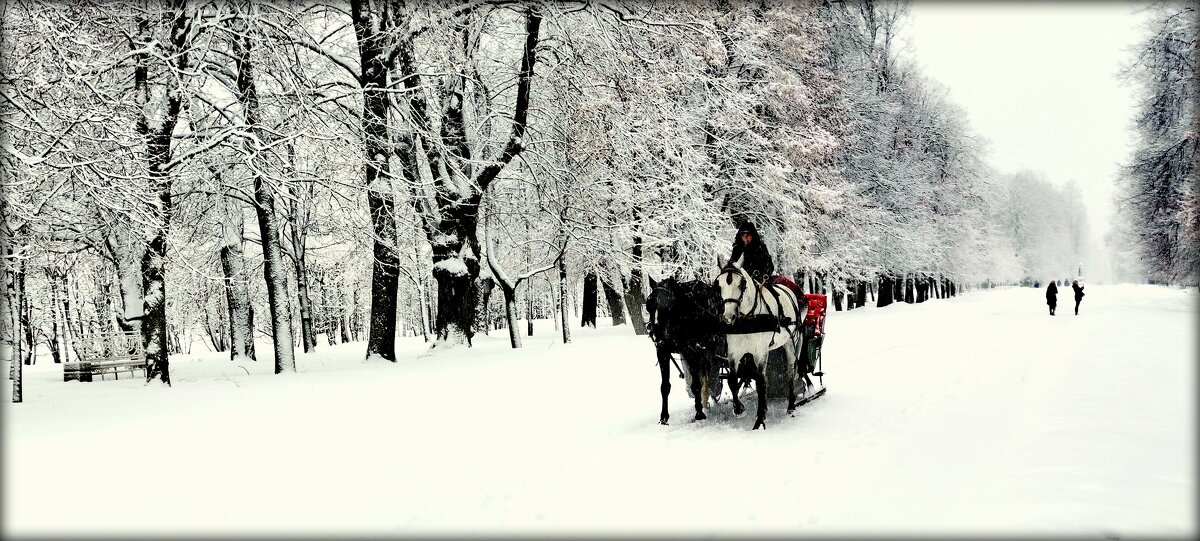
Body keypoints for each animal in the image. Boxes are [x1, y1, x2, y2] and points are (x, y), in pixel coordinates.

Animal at [648, 277, 720, 424]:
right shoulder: (662, 351)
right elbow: (665, 386)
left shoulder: (690, 351)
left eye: (668, 304)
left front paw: (699, 413)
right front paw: (663, 418)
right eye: (649, 304)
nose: (657, 333)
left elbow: (696, 384)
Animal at [710, 260, 806, 429]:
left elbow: (761, 382)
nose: (728, 317)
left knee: (790, 371)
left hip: (790, 342)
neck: (748, 320)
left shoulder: (760, 352)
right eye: (718, 285)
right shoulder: (734, 352)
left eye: (741, 284)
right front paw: (739, 408)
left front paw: (760, 420)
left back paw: (791, 406)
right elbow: (732, 380)